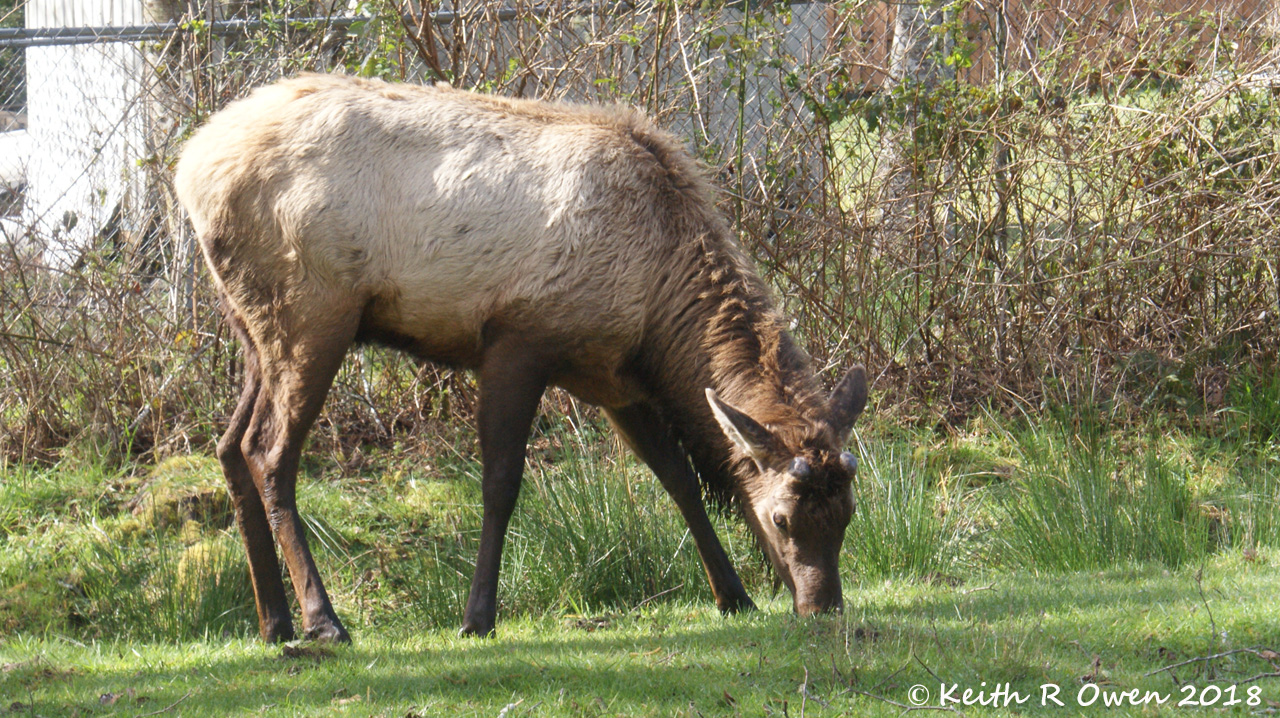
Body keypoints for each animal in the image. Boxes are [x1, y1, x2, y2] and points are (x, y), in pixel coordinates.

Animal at [175, 73, 868, 643]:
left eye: (848, 514)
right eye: (782, 519)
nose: (824, 607)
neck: (656, 323)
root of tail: (188, 170)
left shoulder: (612, 379)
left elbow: (678, 480)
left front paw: (734, 595)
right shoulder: (517, 342)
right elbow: (503, 481)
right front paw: (477, 616)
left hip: (252, 327)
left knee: (229, 446)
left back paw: (274, 621)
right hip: (312, 313)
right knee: (269, 452)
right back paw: (323, 619)